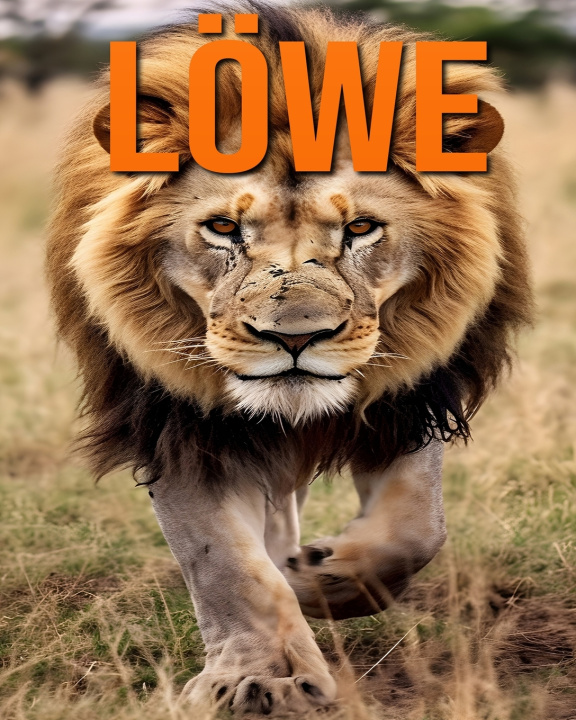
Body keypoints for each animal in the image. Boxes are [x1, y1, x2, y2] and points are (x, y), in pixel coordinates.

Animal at [46, 1, 533, 715]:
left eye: (360, 228)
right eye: (224, 228)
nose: (296, 339)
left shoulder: (411, 398)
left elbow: (416, 527)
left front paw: (322, 583)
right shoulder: (175, 423)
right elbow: (224, 560)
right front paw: (264, 677)